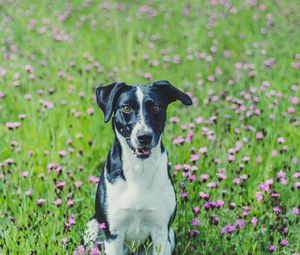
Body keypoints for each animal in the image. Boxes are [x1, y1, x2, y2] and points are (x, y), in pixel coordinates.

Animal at [84, 79, 192, 253]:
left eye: (156, 108)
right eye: (126, 108)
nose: (144, 137)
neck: (139, 169)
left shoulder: (161, 232)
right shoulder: (113, 234)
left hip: (171, 234)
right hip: (93, 225)